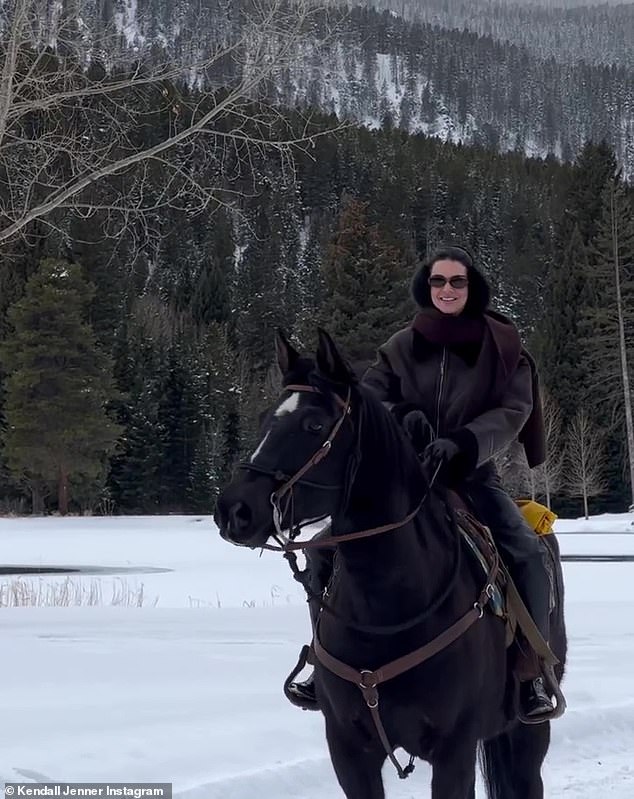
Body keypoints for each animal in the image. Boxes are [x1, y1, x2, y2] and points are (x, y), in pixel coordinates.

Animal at [215, 328, 564, 796]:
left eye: (314, 425)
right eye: (263, 419)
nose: (234, 509)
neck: (385, 608)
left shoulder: (453, 750)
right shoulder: (348, 750)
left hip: (528, 732)